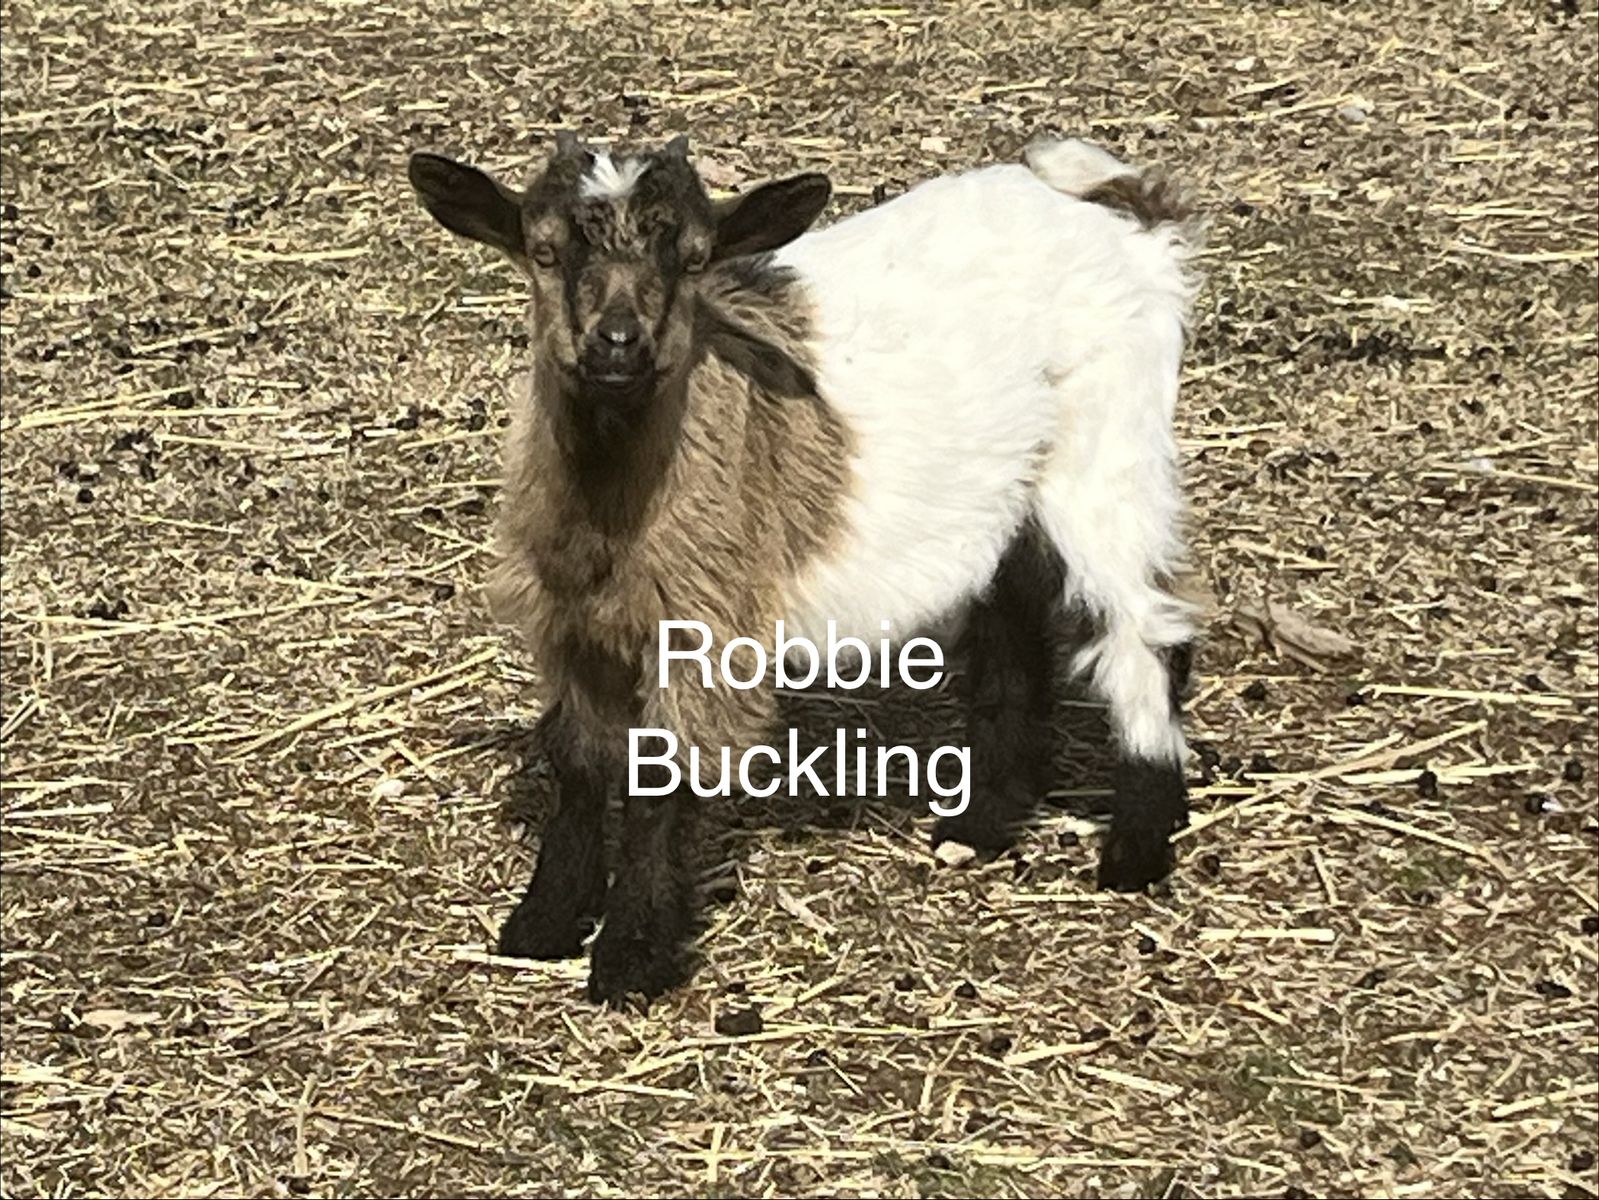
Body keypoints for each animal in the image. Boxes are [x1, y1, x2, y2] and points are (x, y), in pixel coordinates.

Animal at [408, 131, 1204, 1006]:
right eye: (543, 252)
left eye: (694, 259)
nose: (619, 346)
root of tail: (1114, 199)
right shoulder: (573, 626)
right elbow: (578, 759)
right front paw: (542, 923)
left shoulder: (703, 625)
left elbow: (661, 776)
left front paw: (631, 956)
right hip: (1009, 490)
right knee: (1014, 615)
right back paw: (980, 824)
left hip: (1107, 445)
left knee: (1142, 625)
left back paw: (1136, 844)